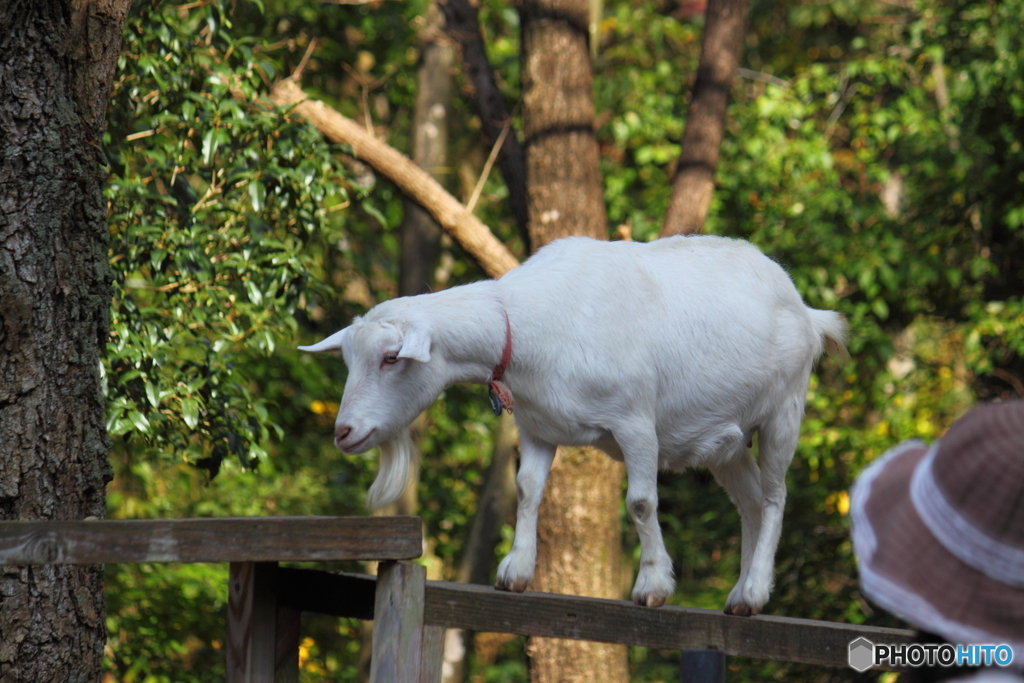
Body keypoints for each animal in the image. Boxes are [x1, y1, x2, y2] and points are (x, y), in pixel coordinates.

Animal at [299, 235, 843, 614]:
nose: (343, 432)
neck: (525, 322)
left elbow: (641, 502)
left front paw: (652, 586)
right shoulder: (537, 427)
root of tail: (807, 311)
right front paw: (515, 572)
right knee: (750, 502)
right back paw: (742, 595)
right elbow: (527, 489)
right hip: (725, 442)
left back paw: (753, 592)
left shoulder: (635, 422)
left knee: (774, 498)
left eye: (392, 358)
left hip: (784, 409)